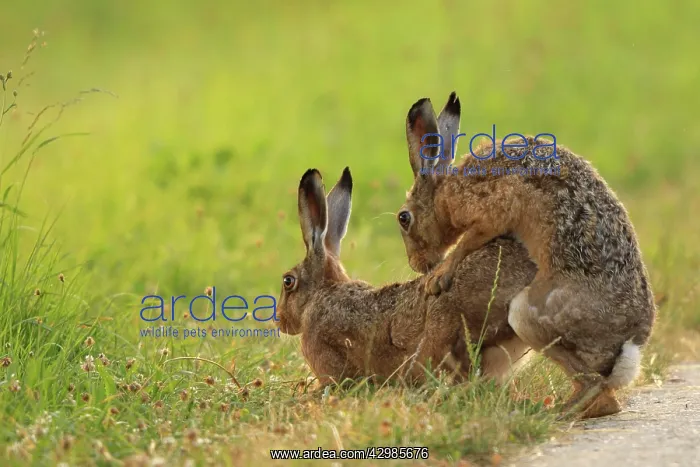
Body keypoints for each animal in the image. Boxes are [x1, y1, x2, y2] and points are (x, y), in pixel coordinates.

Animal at [396, 92, 656, 418]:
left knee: (597, 389)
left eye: (403, 218)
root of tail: (627, 346)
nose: (417, 265)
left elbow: (470, 240)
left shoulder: (495, 204)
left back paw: (556, 412)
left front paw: (439, 278)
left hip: (524, 316)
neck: (444, 194)